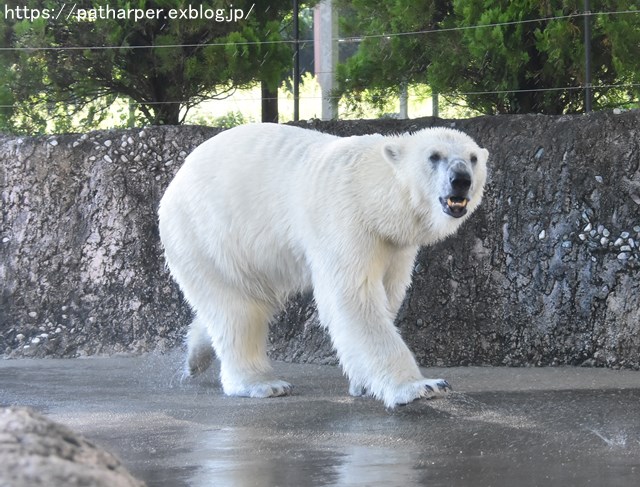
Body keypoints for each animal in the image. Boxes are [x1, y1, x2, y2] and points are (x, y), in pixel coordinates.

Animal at [158, 122, 488, 408]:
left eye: (473, 158)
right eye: (434, 156)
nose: (461, 180)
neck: (372, 193)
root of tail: (176, 181)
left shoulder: (395, 245)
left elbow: (390, 292)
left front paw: (361, 382)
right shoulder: (346, 220)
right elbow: (353, 297)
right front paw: (421, 386)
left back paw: (196, 356)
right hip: (211, 234)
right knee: (237, 309)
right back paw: (262, 383)